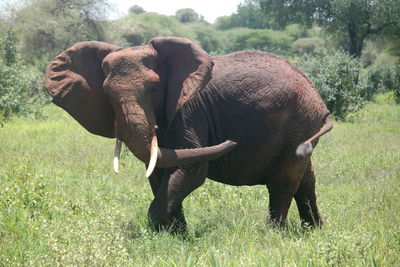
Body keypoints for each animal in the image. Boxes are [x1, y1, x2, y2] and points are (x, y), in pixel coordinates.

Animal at [43, 36, 332, 233]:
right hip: (303, 126)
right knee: (305, 177)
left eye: (154, 89)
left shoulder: (188, 111)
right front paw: (176, 235)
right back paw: (313, 231)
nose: (232, 140)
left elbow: (192, 169)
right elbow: (159, 172)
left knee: (283, 179)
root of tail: (317, 96)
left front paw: (162, 232)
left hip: (300, 122)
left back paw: (273, 234)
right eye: (107, 95)